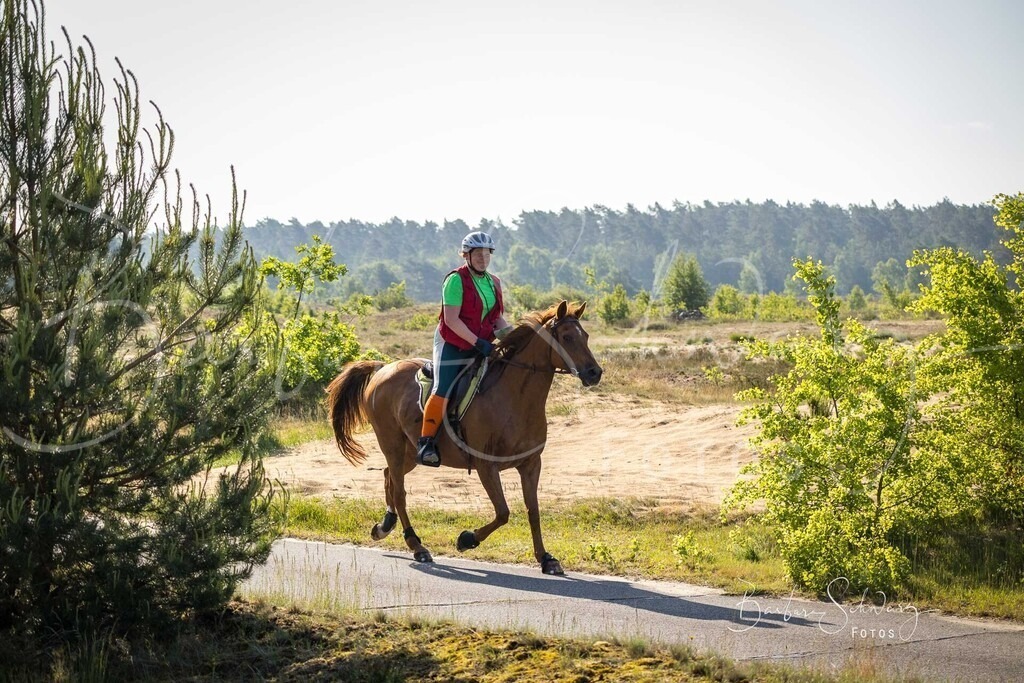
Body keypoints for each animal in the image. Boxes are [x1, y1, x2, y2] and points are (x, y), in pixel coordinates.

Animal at [326, 300, 602, 575]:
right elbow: (503, 513)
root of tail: (384, 369)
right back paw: (416, 545)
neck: (515, 398)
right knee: (400, 492)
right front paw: (466, 539)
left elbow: (532, 510)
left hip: (411, 452)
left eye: (586, 336)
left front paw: (546, 558)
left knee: (388, 478)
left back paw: (385, 526)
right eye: (566, 337)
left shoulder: (531, 464)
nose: (594, 373)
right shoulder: (486, 465)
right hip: (391, 443)